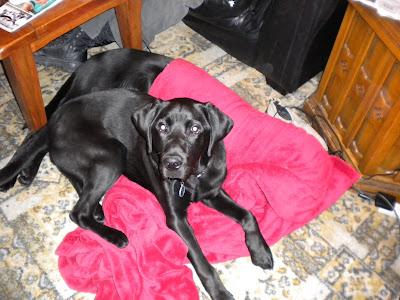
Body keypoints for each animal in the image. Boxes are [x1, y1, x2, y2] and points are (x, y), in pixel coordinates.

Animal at [0, 48, 272, 298]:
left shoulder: (213, 191)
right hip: (113, 153)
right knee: (75, 207)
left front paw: (260, 251)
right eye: (161, 127)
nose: (171, 164)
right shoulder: (175, 219)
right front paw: (220, 292)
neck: (193, 178)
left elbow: (248, 215)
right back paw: (114, 234)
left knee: (72, 175)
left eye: (195, 129)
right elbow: (200, 259)